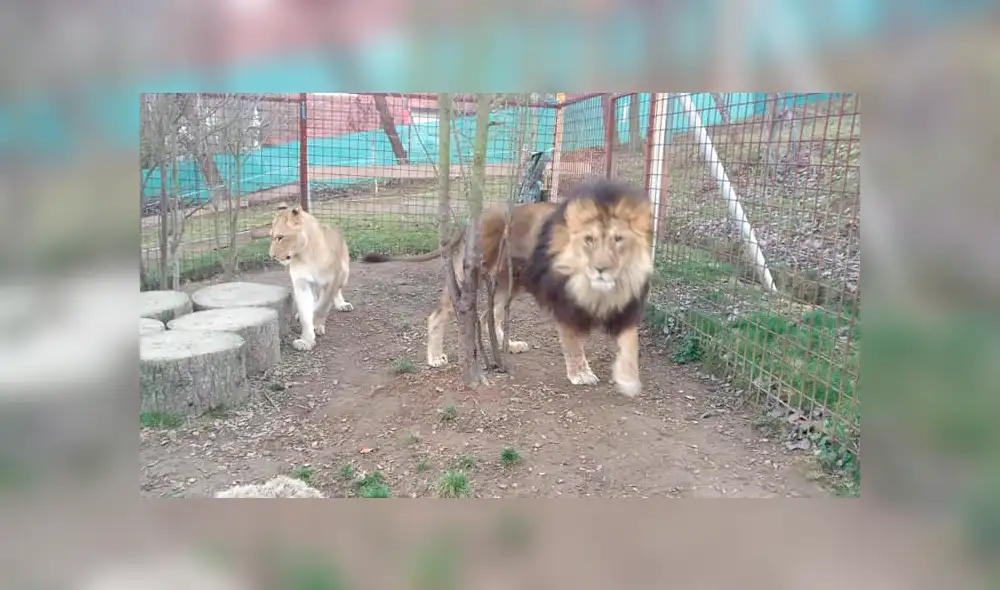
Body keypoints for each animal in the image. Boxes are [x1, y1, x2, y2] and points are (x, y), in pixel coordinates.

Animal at [269, 203, 354, 351]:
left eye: (280, 237)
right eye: (272, 236)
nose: (271, 255)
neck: (305, 255)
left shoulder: (332, 280)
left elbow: (322, 306)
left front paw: (316, 324)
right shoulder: (302, 283)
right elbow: (305, 312)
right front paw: (306, 340)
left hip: (344, 273)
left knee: (336, 292)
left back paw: (342, 305)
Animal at [362, 178, 654, 397]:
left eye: (618, 240)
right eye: (589, 240)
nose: (601, 268)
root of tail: (480, 214)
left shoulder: (629, 304)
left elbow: (631, 343)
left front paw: (628, 379)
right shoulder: (560, 299)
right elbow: (572, 341)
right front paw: (580, 373)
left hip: (509, 283)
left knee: (488, 315)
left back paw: (509, 345)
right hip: (471, 274)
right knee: (440, 314)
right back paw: (435, 357)